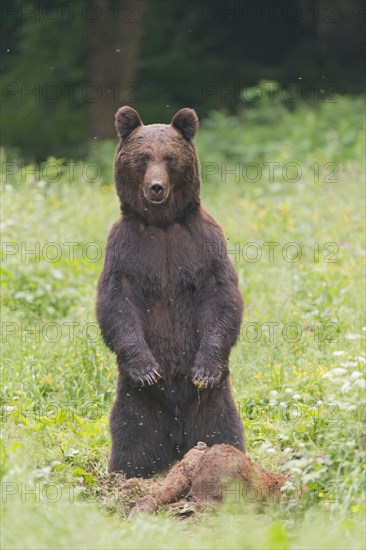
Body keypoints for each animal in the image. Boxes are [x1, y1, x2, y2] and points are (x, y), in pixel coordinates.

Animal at [97, 106, 244, 478]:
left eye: (170, 157)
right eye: (142, 158)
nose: (156, 187)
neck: (162, 223)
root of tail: (178, 441)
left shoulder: (202, 241)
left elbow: (221, 294)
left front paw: (205, 370)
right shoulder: (125, 248)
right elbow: (116, 301)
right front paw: (147, 369)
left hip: (213, 401)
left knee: (222, 425)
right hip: (136, 399)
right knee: (132, 432)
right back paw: (127, 472)